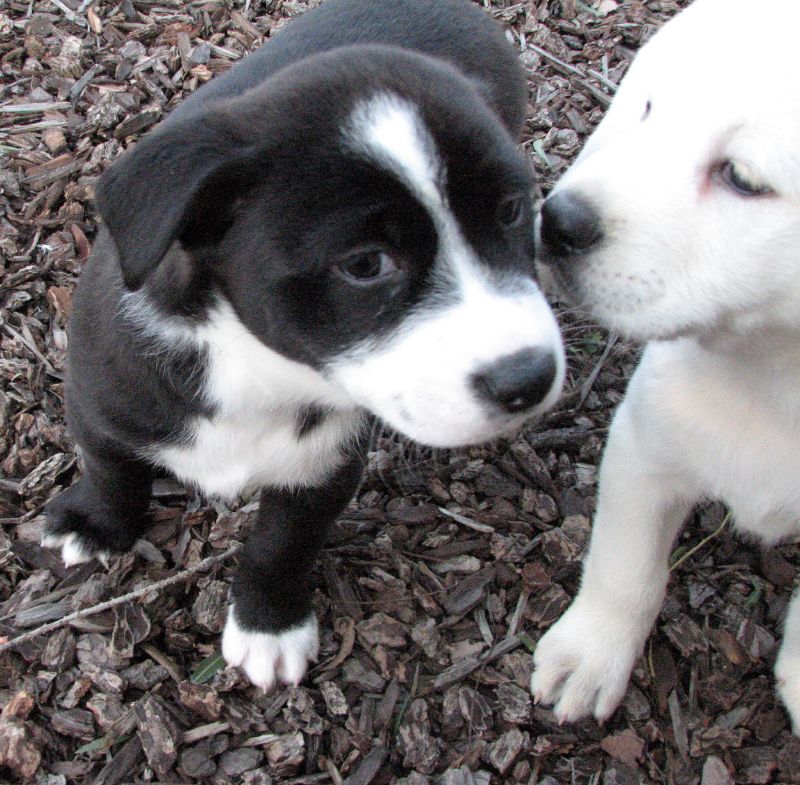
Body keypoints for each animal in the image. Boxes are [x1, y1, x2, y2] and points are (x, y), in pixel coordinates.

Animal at [43, 0, 564, 688]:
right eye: (365, 264)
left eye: (510, 211)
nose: (531, 377)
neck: (253, 365)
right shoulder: (98, 401)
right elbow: (110, 469)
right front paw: (95, 525)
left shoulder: (324, 463)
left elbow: (281, 545)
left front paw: (268, 624)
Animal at [532, 0, 800, 728]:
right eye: (650, 109)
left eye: (743, 179)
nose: (557, 221)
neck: (772, 376)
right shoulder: (644, 446)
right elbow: (627, 568)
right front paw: (591, 653)